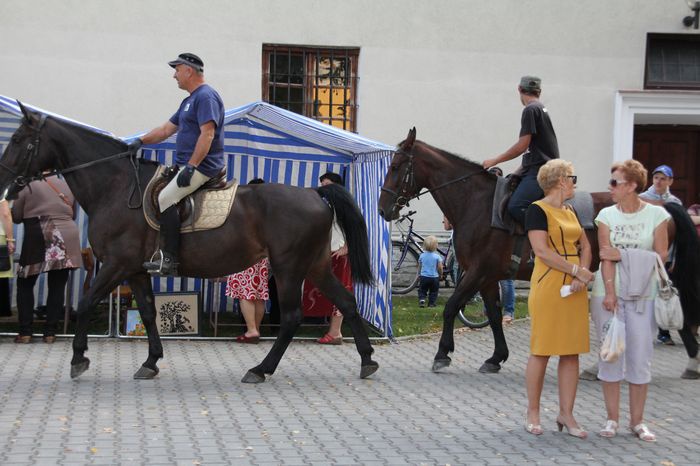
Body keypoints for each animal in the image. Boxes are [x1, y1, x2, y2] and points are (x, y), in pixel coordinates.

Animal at [0, 104, 380, 382]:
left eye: (18, 139)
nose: (4, 180)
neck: (116, 187)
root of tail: (315, 192)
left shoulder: (116, 265)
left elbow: (85, 301)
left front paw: (78, 358)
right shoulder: (136, 270)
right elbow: (148, 312)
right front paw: (151, 362)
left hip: (288, 267)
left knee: (290, 317)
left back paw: (260, 370)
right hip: (315, 265)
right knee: (346, 302)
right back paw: (367, 361)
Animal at [380, 127, 696, 378]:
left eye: (395, 165)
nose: (383, 209)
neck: (477, 203)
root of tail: (661, 205)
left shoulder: (477, 271)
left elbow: (451, 307)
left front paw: (442, 354)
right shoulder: (488, 277)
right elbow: (494, 315)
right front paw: (496, 357)